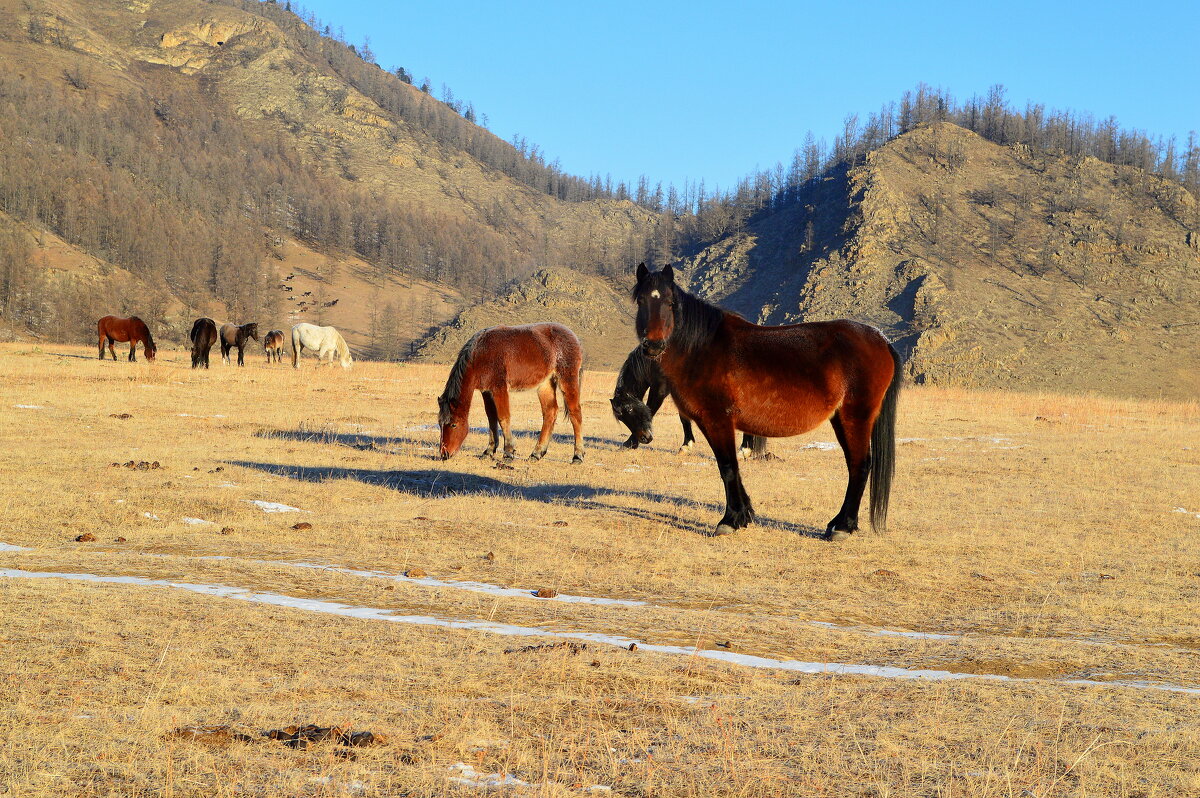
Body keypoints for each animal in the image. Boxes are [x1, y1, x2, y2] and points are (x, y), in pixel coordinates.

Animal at [436, 321, 585, 460]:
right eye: (440, 424)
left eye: (454, 425)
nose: (444, 454)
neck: (481, 354)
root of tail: (573, 337)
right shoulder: (486, 391)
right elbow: (491, 418)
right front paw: (489, 451)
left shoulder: (499, 388)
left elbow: (503, 417)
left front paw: (508, 451)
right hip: (545, 384)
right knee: (550, 413)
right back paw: (536, 453)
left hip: (567, 380)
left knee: (575, 413)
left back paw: (578, 455)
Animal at [609, 348, 768, 453]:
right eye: (621, 418)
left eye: (629, 409)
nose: (644, 438)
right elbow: (684, 418)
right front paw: (686, 445)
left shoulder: (659, 389)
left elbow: (651, 409)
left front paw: (630, 442)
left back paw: (745, 449)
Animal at [628, 264, 902, 537]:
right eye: (641, 301)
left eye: (670, 302)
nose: (653, 345)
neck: (702, 349)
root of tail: (881, 339)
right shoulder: (711, 423)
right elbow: (732, 467)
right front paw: (744, 514)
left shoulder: (718, 421)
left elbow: (727, 467)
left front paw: (730, 520)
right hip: (841, 419)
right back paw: (836, 523)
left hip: (856, 417)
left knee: (860, 465)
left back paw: (843, 526)